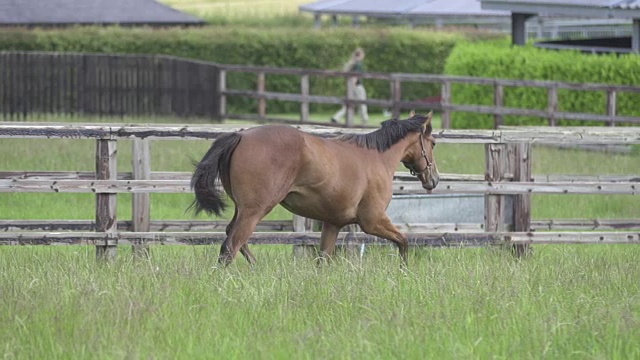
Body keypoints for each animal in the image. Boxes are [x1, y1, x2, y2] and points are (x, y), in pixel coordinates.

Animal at [191, 112, 440, 264]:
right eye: (433, 143)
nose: (434, 179)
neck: (377, 158)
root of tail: (241, 135)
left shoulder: (332, 224)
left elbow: (323, 259)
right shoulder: (373, 221)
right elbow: (403, 241)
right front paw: (404, 272)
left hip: (242, 209)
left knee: (233, 238)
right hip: (255, 210)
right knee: (230, 247)